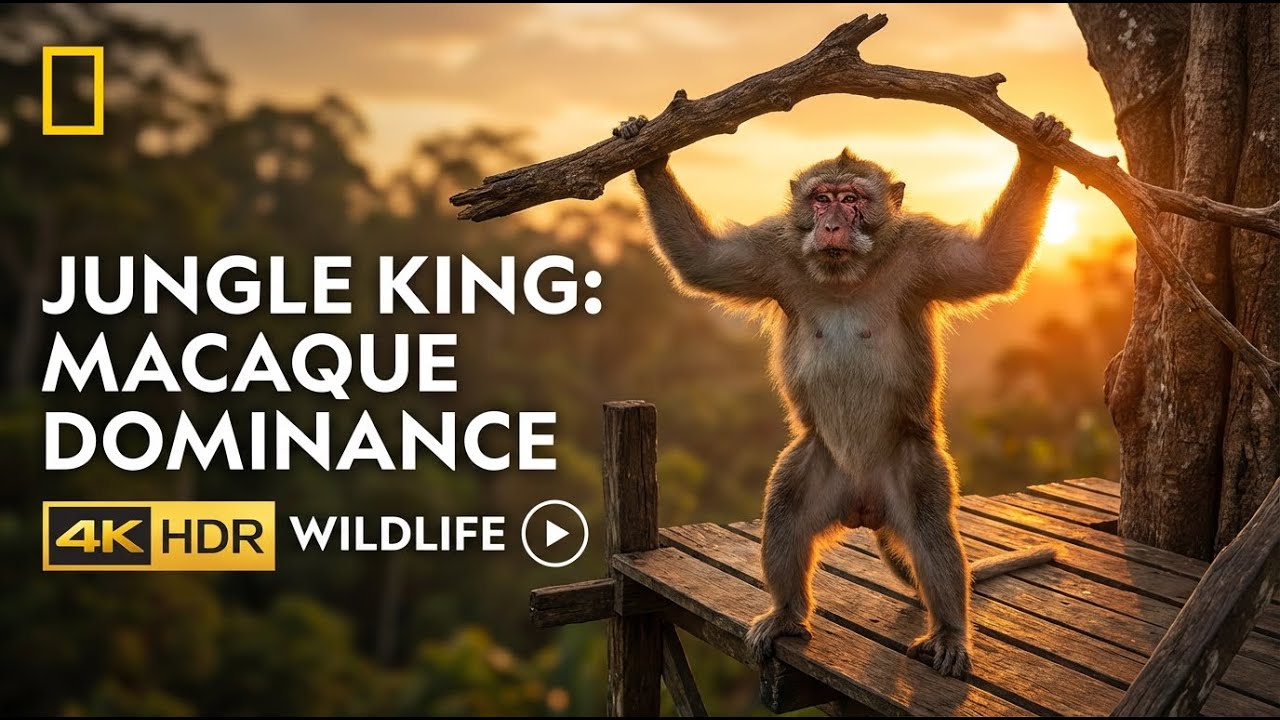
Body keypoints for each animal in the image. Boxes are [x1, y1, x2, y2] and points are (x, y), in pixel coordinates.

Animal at [614, 112, 1070, 677]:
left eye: (852, 199)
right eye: (820, 199)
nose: (831, 224)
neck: (847, 273)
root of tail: (864, 503)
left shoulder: (921, 253)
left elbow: (991, 262)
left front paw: (1040, 152)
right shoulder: (776, 252)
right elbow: (702, 260)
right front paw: (650, 160)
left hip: (910, 461)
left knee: (929, 527)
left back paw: (948, 630)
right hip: (821, 462)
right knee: (787, 510)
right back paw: (788, 613)